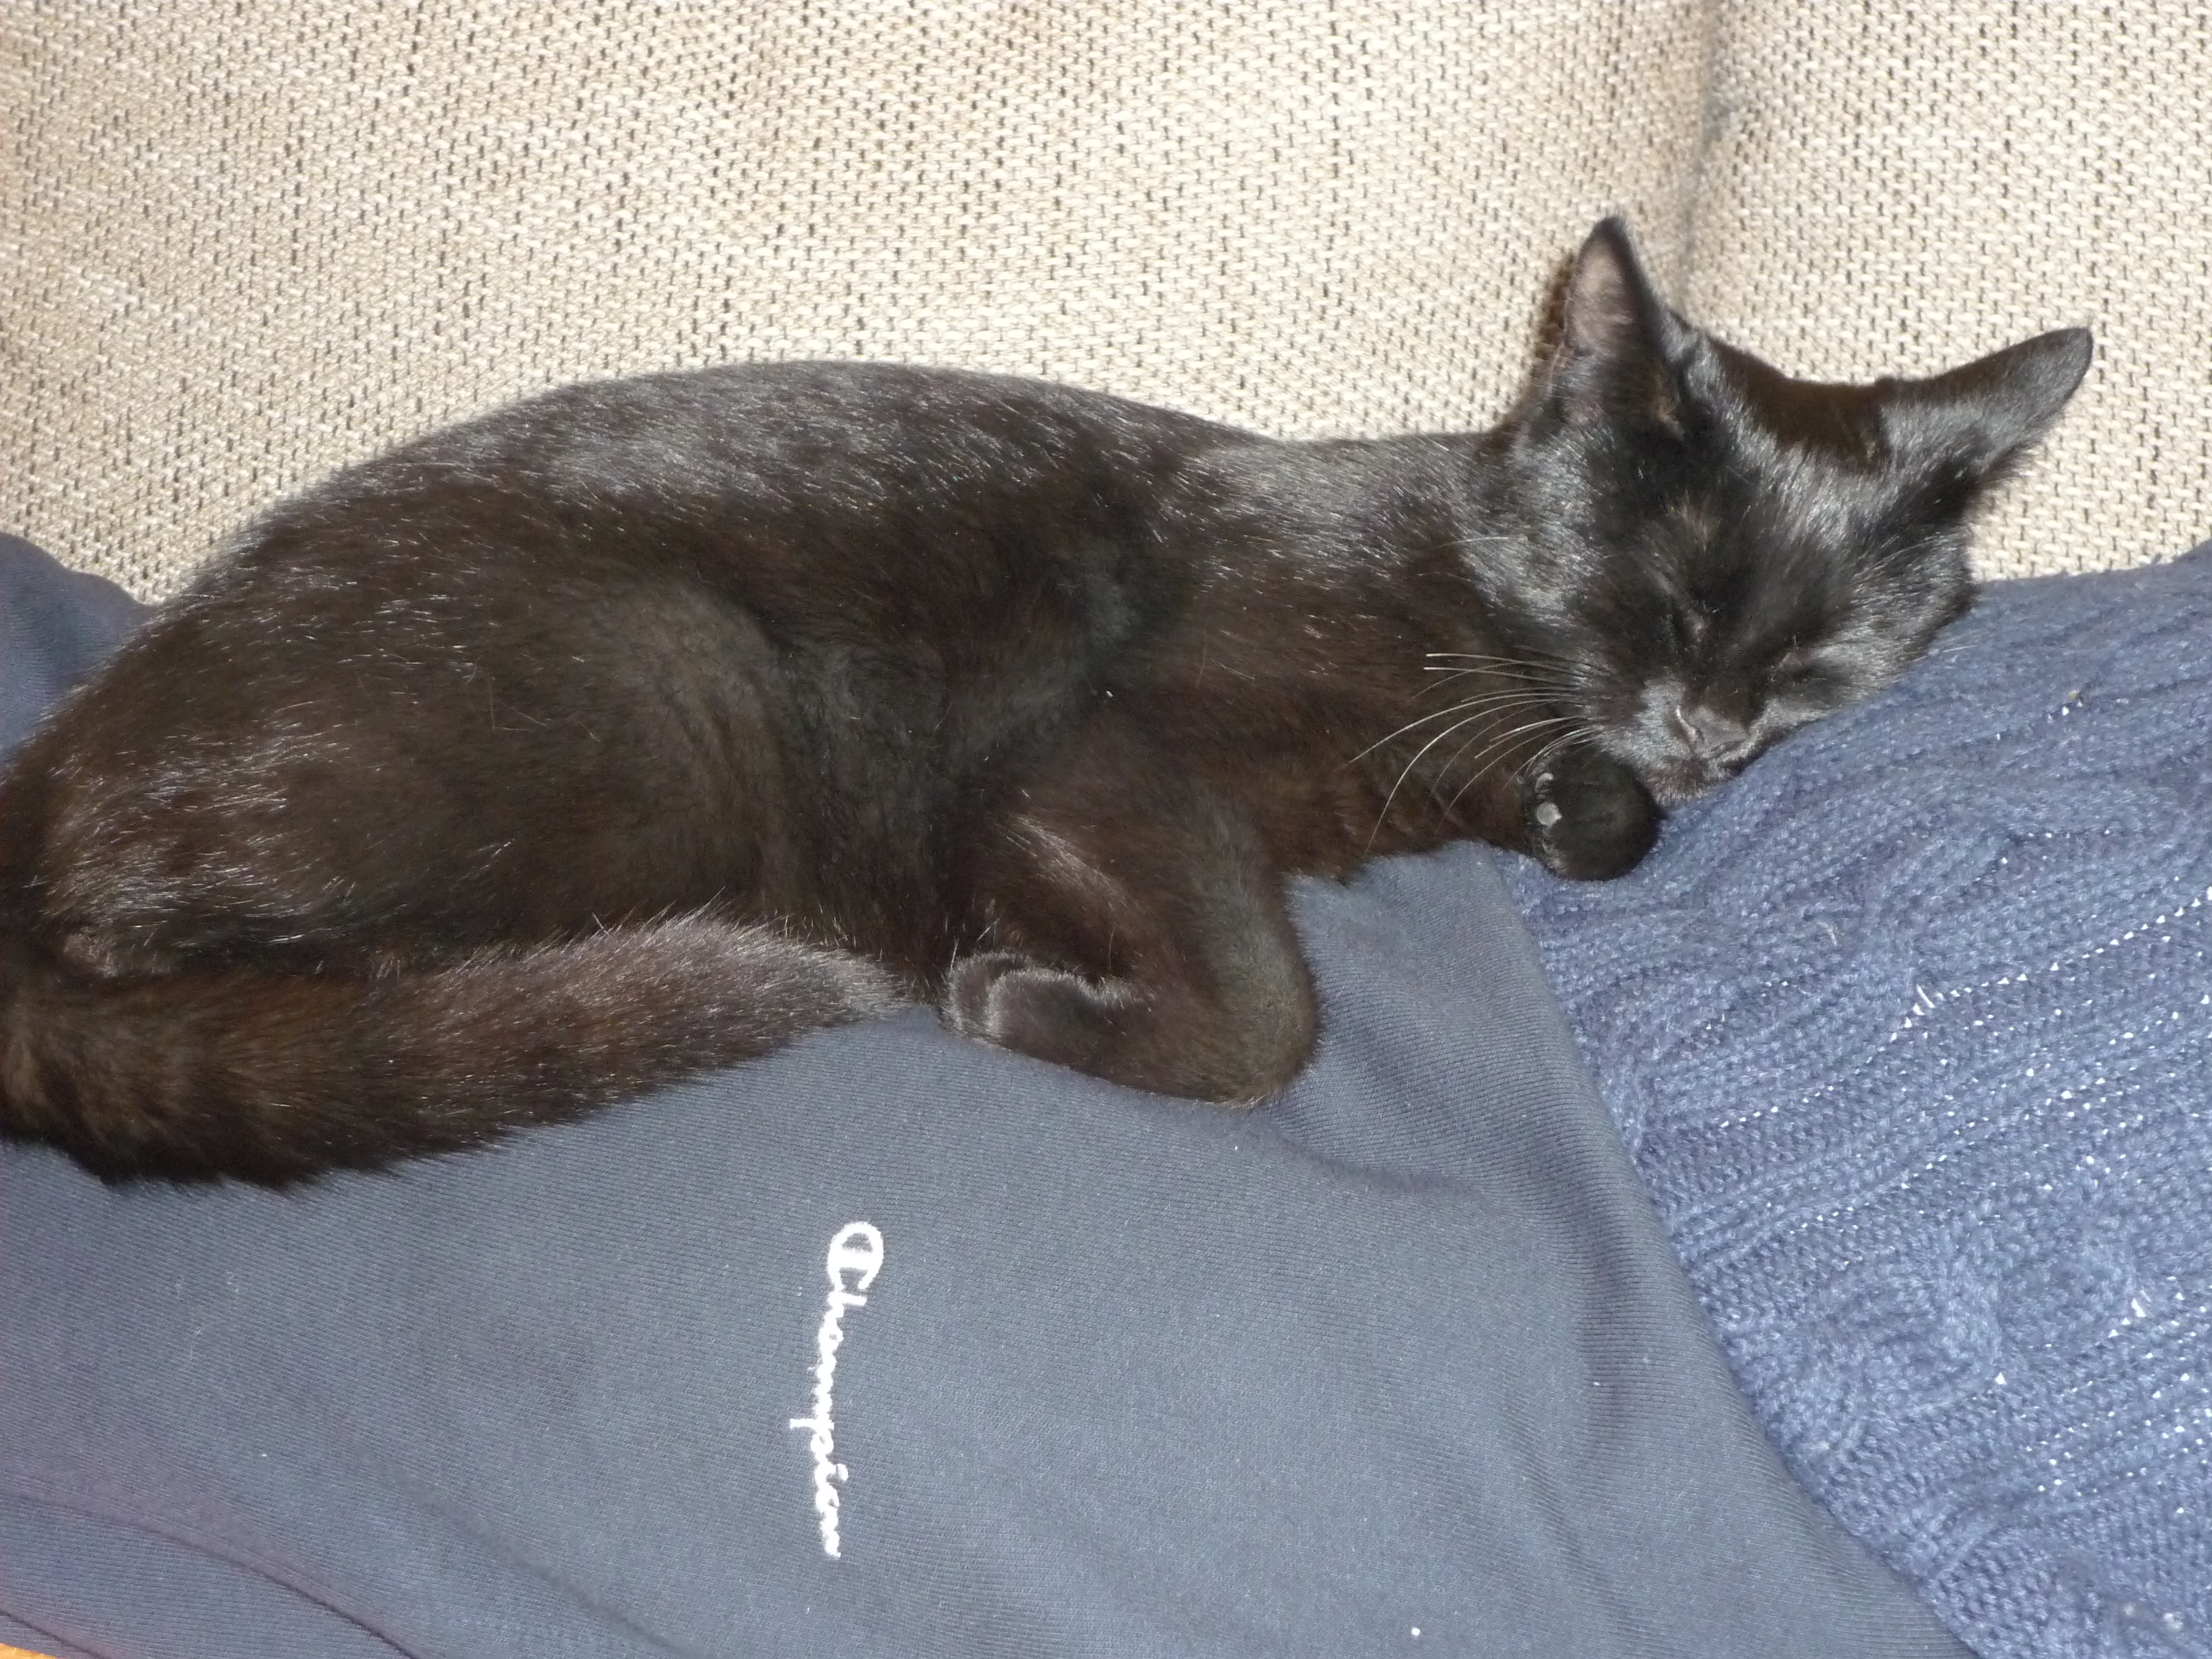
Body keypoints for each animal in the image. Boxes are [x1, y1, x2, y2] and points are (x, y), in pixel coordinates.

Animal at [0, 220, 2089, 1184]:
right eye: (1674, 601)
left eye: (1816, 670)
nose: (1714, 739)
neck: (1460, 592)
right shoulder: (1100, 755)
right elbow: (1266, 1006)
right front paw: (1021, 996)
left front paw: (1596, 807)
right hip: (665, 674)